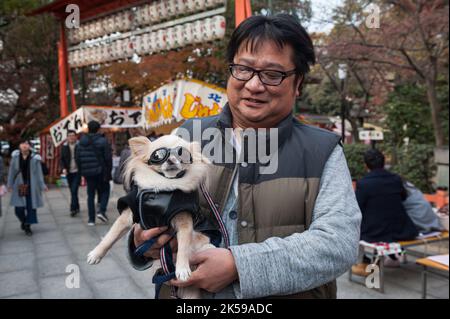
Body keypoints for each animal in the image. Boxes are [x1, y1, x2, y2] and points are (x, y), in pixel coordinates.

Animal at [87, 136, 216, 300]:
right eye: (158, 155)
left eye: (182, 154)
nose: (171, 159)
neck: (166, 186)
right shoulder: (128, 217)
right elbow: (110, 237)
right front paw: (96, 254)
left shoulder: (185, 223)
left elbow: (183, 246)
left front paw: (182, 269)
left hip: (206, 245)